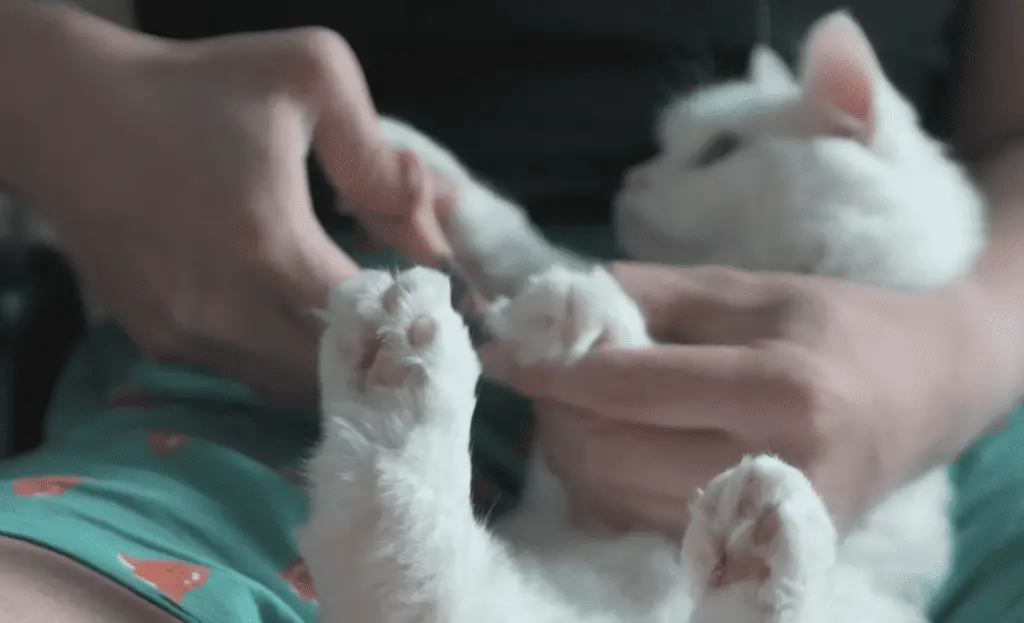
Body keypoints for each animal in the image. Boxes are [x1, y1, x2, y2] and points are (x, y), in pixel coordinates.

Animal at [303, 8, 983, 623]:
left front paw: (580, 309)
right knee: (410, 567)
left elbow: (615, 315)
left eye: (718, 151)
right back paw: (394, 365)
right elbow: (519, 243)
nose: (633, 179)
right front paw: (422, 167)